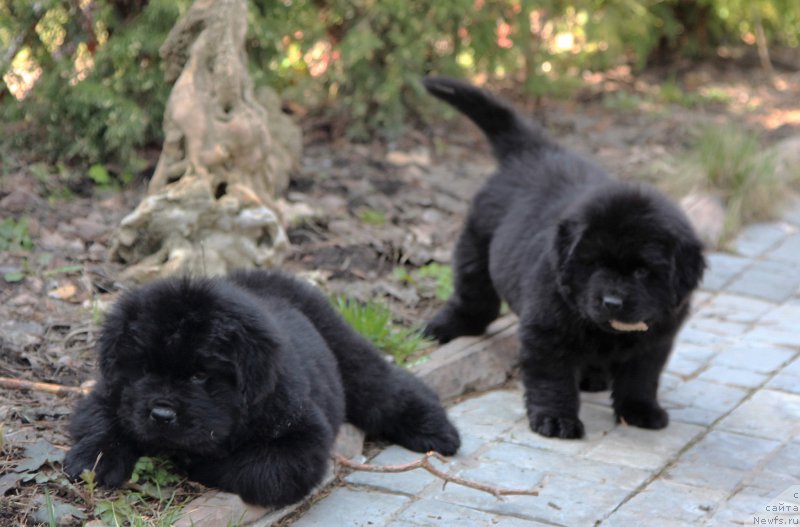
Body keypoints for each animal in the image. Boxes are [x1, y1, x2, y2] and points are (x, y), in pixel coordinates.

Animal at [65, 270, 460, 510]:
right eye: (144, 368)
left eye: (200, 376)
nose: (161, 414)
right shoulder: (109, 394)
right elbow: (103, 421)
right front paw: (95, 461)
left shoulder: (301, 439)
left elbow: (257, 468)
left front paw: (195, 461)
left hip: (349, 356)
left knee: (387, 387)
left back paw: (438, 431)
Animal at [422, 77, 704, 442]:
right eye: (594, 264)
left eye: (643, 271)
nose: (612, 302)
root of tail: (533, 150)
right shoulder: (547, 331)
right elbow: (552, 379)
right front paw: (556, 420)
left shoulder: (655, 338)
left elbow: (641, 377)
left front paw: (640, 410)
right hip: (477, 244)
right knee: (474, 296)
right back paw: (447, 326)